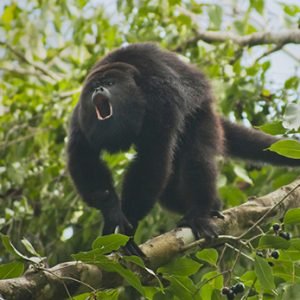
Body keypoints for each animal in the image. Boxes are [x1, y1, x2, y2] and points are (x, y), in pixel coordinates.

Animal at [68, 42, 300, 239]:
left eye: (110, 83)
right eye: (94, 86)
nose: (98, 89)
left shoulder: (159, 99)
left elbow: (152, 157)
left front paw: (130, 224)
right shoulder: (79, 118)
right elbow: (84, 157)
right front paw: (112, 212)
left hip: (202, 116)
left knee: (197, 157)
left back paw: (198, 212)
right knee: (168, 190)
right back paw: (213, 205)